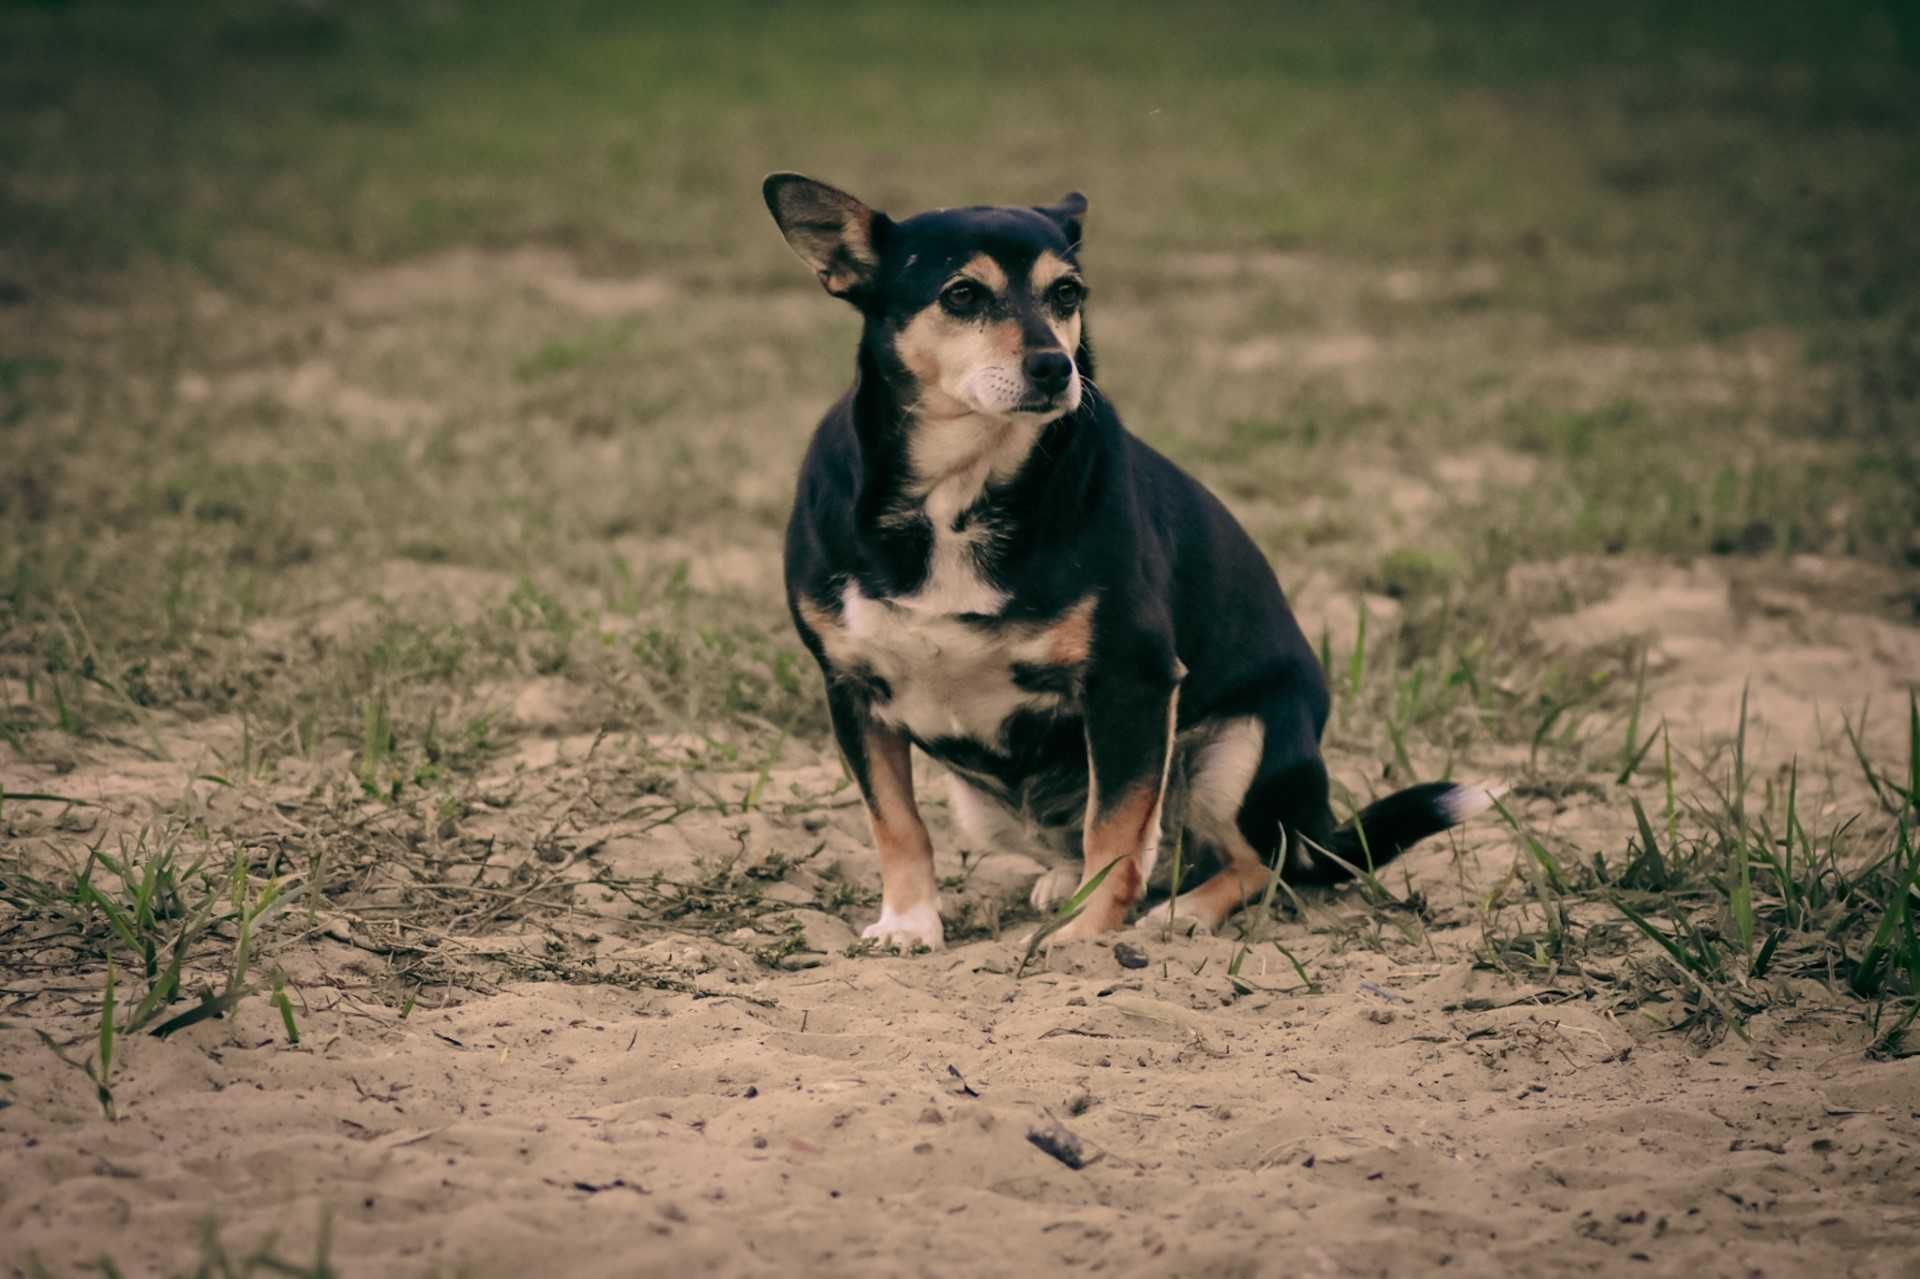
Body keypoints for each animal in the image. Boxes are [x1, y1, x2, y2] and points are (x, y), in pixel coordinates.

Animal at [756, 171, 1489, 944]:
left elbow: (1112, 831)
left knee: (1258, 861)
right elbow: (896, 824)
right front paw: (908, 924)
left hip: (1238, 751)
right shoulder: (851, 690)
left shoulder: (1131, 682)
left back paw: (1183, 912)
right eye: (961, 295)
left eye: (1067, 293)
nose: (1055, 367)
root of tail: (1321, 823)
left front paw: (1083, 938)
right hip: (989, 808)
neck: (959, 492)